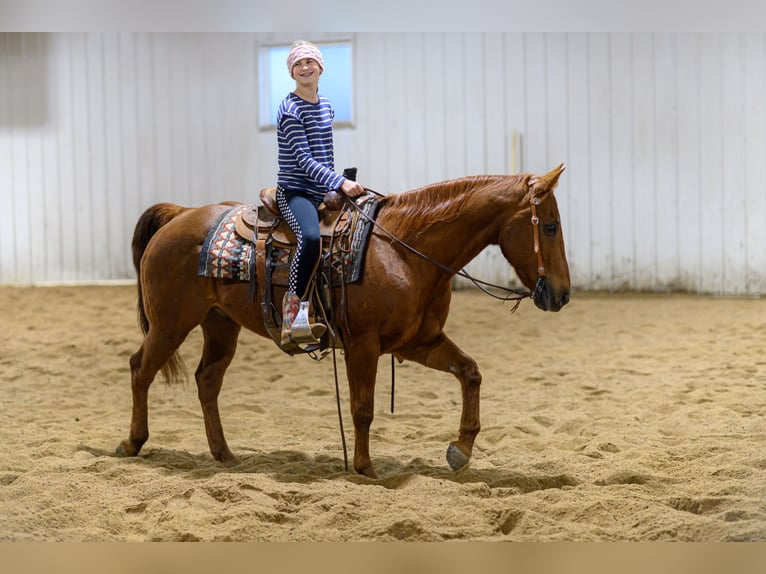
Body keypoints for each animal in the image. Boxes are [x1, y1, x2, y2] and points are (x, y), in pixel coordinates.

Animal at [116, 164, 571, 478]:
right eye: (549, 225)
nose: (562, 294)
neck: (403, 250)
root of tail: (181, 214)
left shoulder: (417, 341)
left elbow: (470, 372)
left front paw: (462, 448)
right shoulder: (363, 344)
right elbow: (362, 408)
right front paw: (365, 468)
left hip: (220, 324)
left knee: (207, 380)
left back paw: (224, 454)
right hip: (171, 323)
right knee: (140, 369)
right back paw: (132, 443)